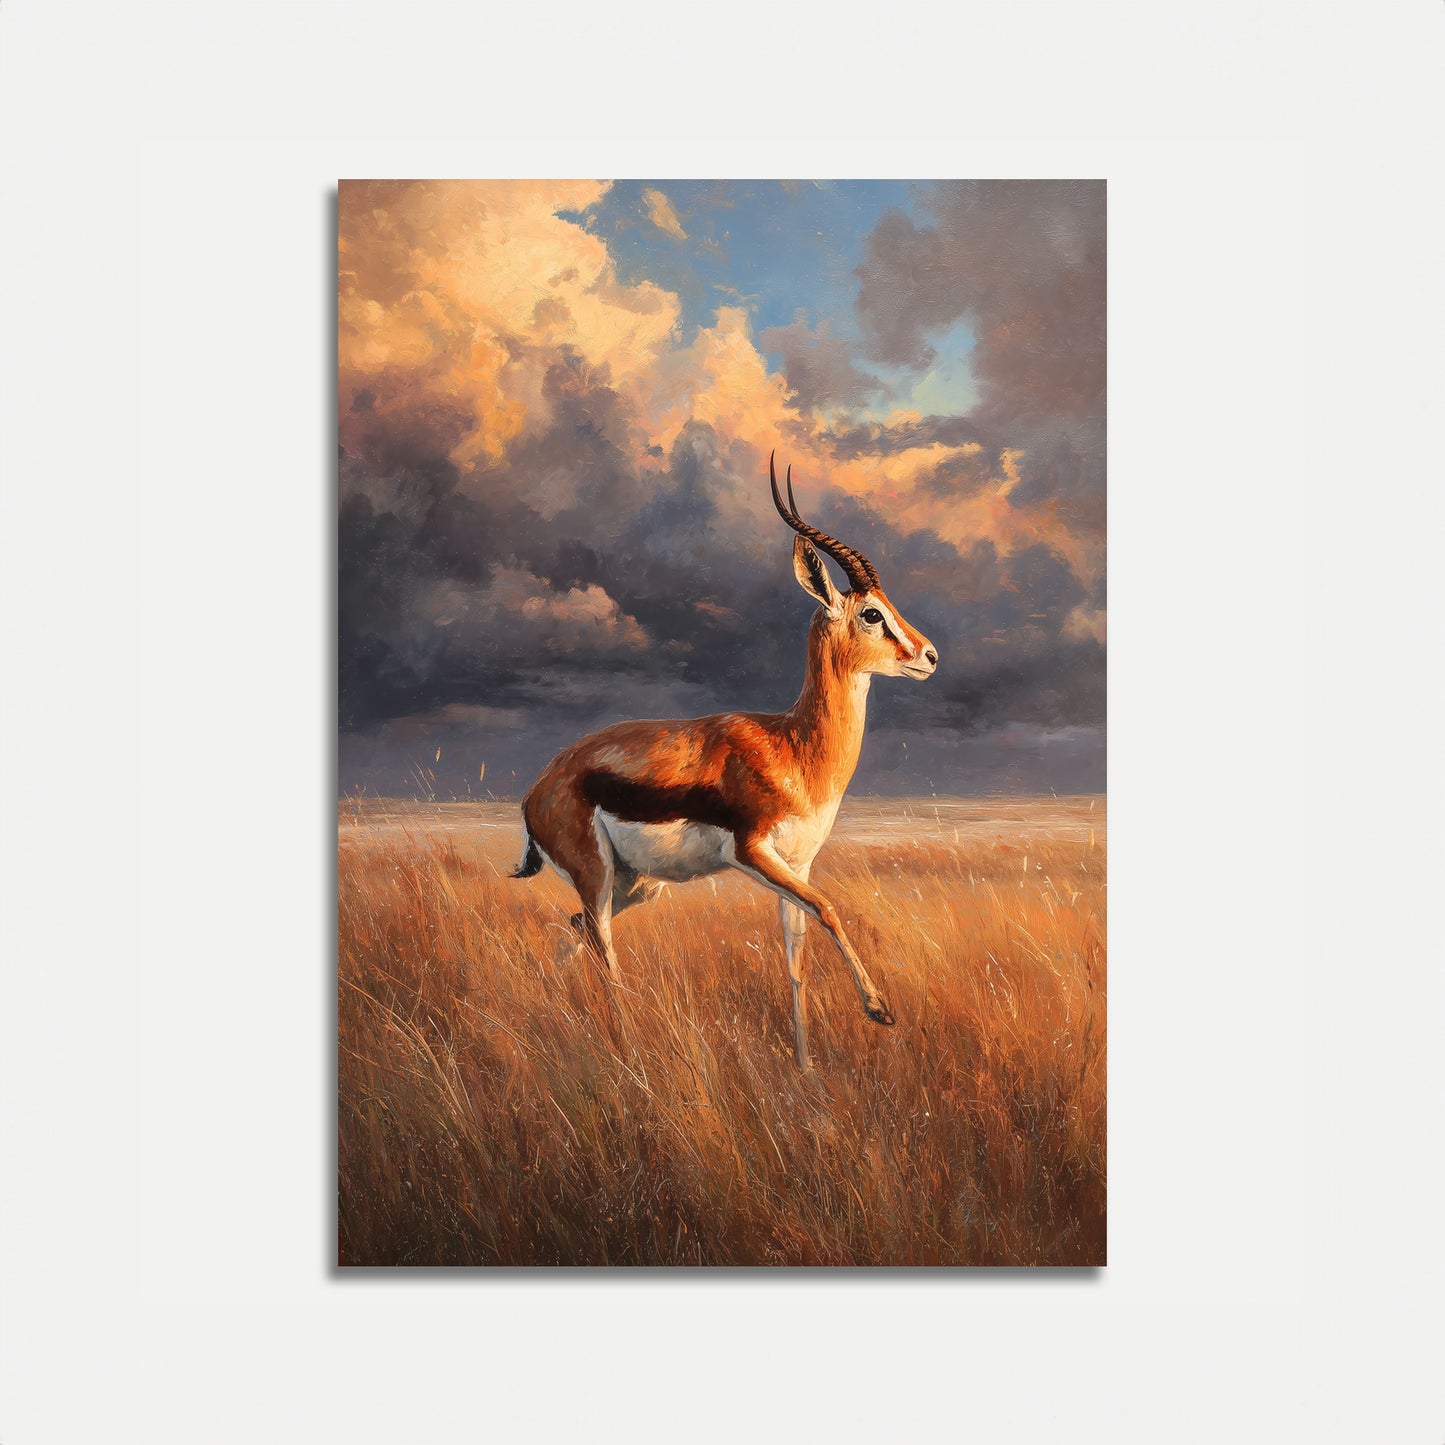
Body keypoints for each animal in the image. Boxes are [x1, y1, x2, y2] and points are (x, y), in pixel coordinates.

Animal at [512, 453, 938, 1068]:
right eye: (873, 614)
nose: (929, 655)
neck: (792, 745)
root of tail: (537, 789)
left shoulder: (796, 865)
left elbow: (796, 964)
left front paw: (806, 1071)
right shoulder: (752, 852)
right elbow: (830, 908)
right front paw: (879, 1010)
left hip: (636, 884)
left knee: (578, 930)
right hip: (598, 876)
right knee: (603, 951)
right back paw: (628, 1051)